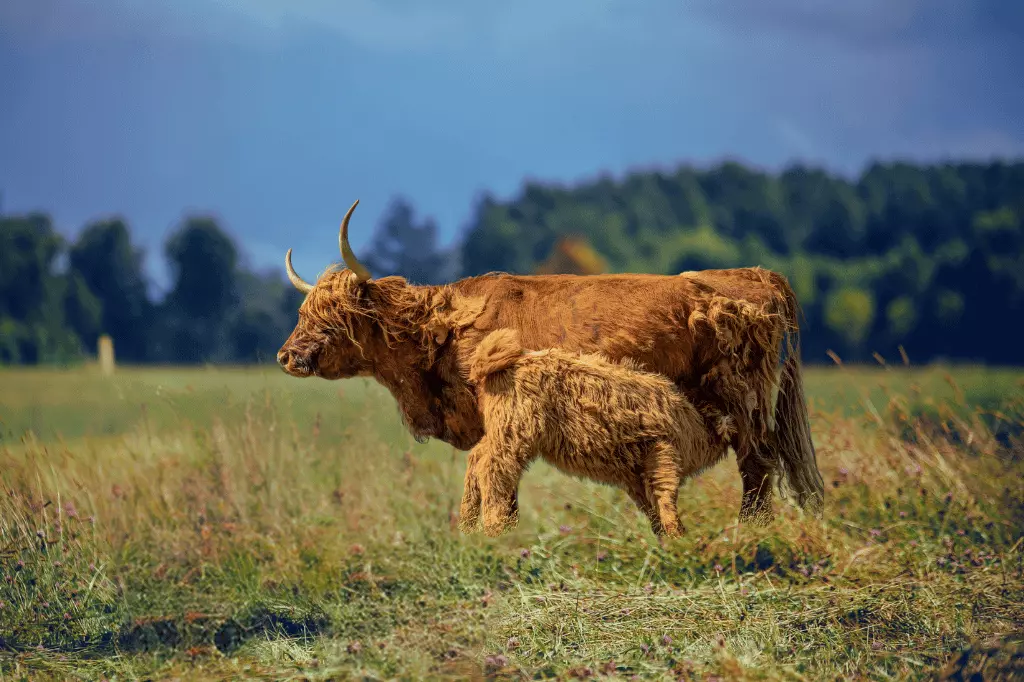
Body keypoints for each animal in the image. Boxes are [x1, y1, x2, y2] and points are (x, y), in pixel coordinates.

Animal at [460, 325, 724, 536]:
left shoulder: (634, 475)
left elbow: (651, 507)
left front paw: (663, 538)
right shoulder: (662, 452)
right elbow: (665, 496)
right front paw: (678, 537)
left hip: (500, 431)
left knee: (477, 458)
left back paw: (468, 528)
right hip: (514, 433)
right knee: (492, 470)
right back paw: (494, 530)